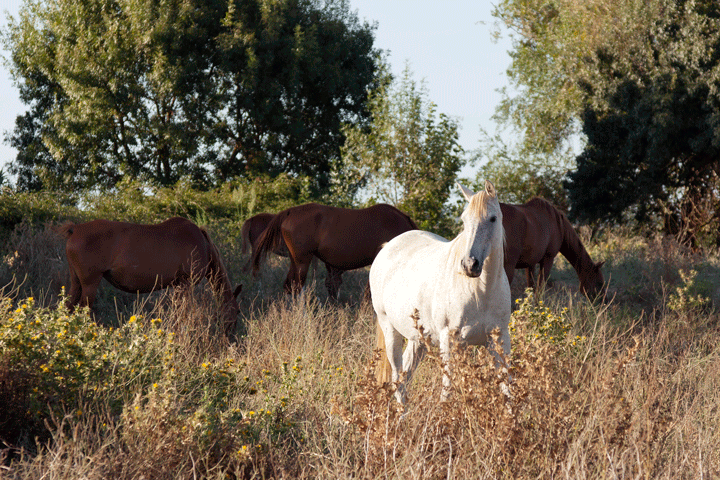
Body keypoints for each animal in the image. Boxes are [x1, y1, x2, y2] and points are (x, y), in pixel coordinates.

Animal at [56, 217, 242, 335]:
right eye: (238, 311)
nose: (230, 336)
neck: (203, 244)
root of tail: (75, 229)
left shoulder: (178, 287)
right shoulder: (185, 285)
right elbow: (183, 316)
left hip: (77, 283)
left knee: (68, 308)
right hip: (90, 285)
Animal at [370, 181, 511, 404]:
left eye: (493, 218)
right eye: (464, 219)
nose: (469, 265)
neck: (481, 292)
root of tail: (387, 247)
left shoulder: (500, 339)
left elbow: (507, 390)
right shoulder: (450, 341)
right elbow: (448, 392)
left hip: (417, 340)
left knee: (404, 380)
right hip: (390, 330)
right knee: (397, 381)